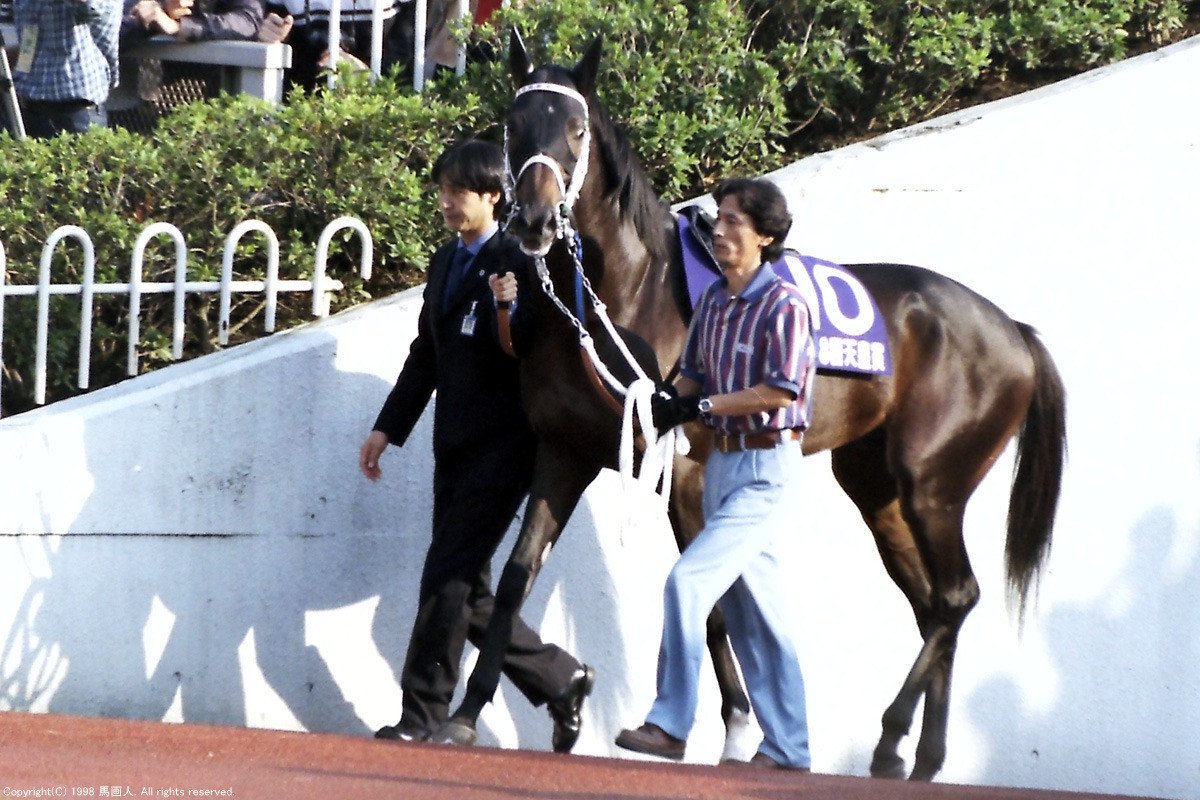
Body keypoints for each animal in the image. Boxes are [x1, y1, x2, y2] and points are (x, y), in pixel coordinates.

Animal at [434, 32, 1070, 782]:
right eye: (513, 125)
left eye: (576, 128)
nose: (533, 221)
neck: (627, 294)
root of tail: (1015, 333)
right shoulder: (563, 454)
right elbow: (514, 577)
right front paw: (466, 712)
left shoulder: (684, 467)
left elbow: (704, 595)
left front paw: (730, 728)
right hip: (876, 487)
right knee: (931, 604)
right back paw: (920, 757)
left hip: (932, 483)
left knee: (955, 597)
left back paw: (890, 738)